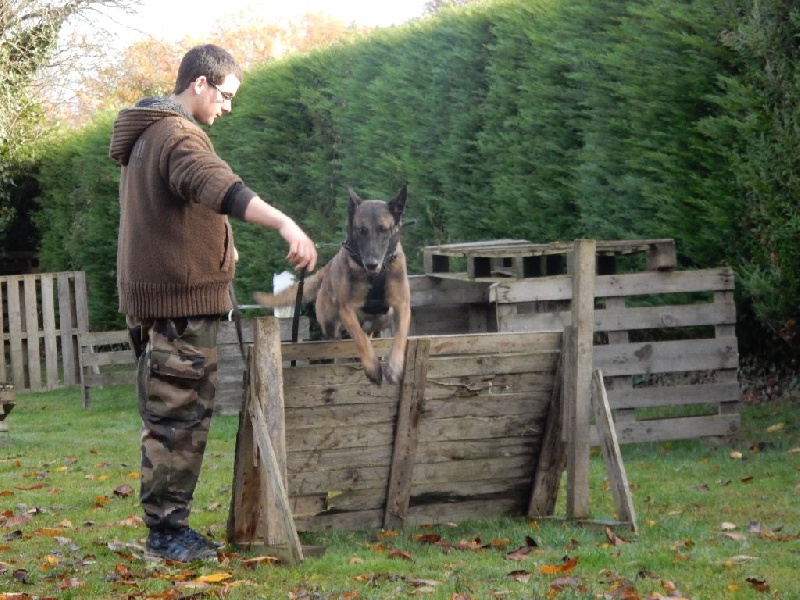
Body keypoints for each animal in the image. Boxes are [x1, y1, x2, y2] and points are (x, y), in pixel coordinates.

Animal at [254, 185, 411, 385]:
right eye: (361, 230)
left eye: (383, 229)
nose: (371, 264)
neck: (375, 276)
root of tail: (328, 266)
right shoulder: (347, 310)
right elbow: (360, 338)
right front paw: (372, 368)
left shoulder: (401, 306)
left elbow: (400, 336)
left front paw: (394, 367)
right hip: (329, 321)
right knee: (337, 341)